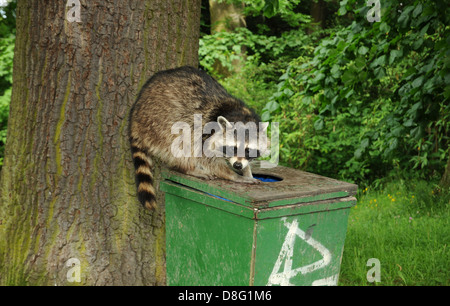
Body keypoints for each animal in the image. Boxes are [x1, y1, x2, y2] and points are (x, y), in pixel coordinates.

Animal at [128, 66, 266, 210]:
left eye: (248, 150)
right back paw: (189, 168)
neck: (241, 116)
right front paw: (234, 176)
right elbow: (208, 160)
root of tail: (135, 111)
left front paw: (247, 170)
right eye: (232, 148)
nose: (237, 165)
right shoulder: (205, 134)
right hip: (158, 123)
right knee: (179, 146)